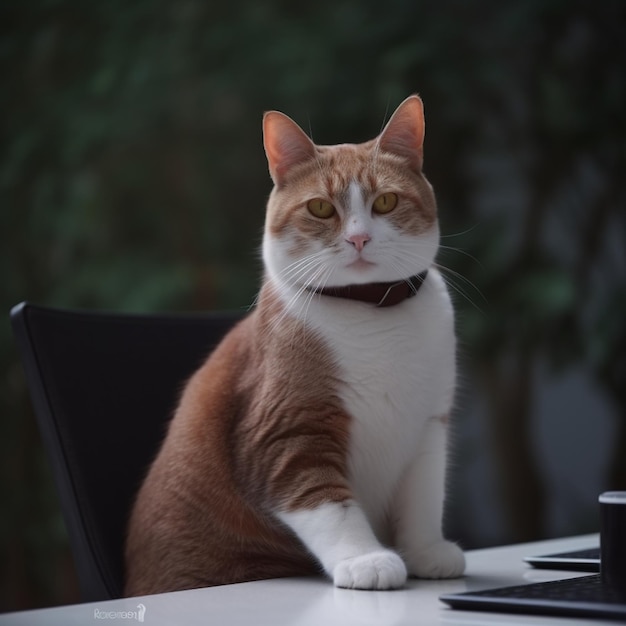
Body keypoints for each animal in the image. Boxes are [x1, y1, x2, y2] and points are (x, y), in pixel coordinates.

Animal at [124, 95, 464, 592]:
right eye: (320, 208)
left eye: (385, 202)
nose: (359, 238)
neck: (373, 315)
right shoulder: (285, 433)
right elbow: (329, 504)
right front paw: (366, 561)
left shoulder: (428, 428)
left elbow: (423, 497)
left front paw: (426, 552)